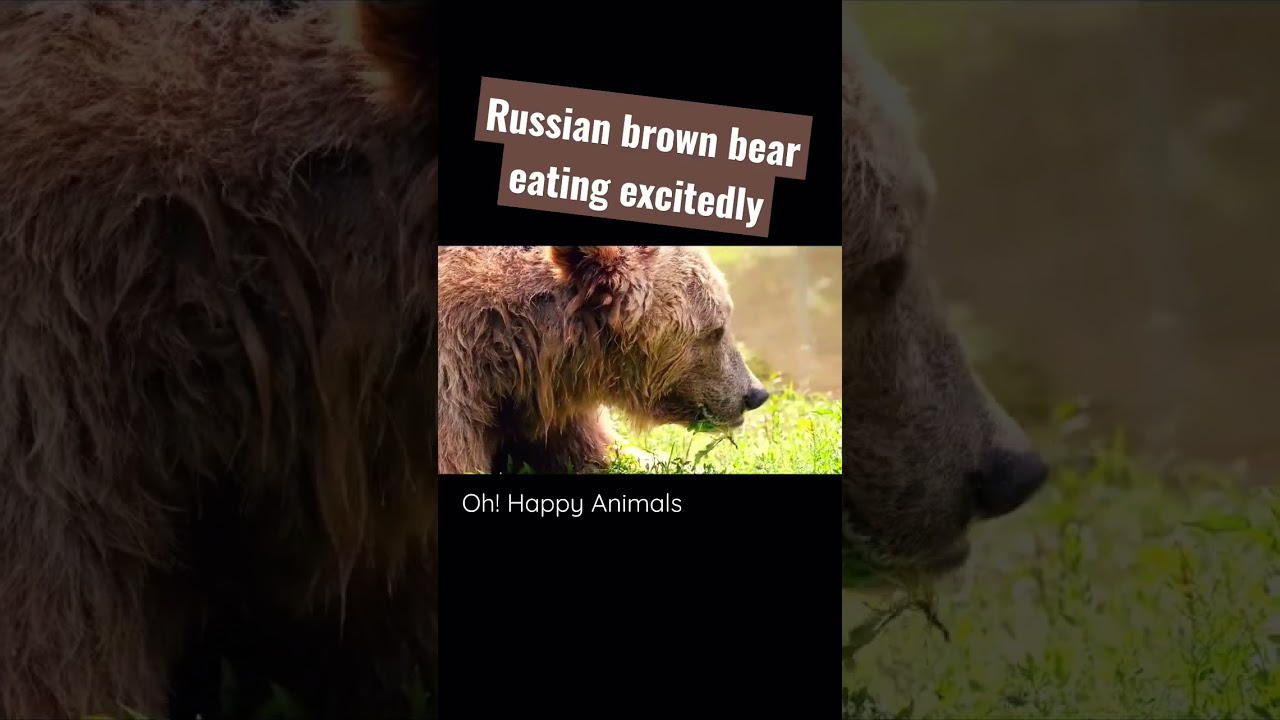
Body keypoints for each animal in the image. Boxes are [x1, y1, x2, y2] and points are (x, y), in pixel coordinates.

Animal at [437, 245, 770, 474]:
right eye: (716, 330)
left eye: (723, 319)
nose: (755, 394)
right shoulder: (452, 384)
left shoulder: (548, 408)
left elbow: (605, 453)